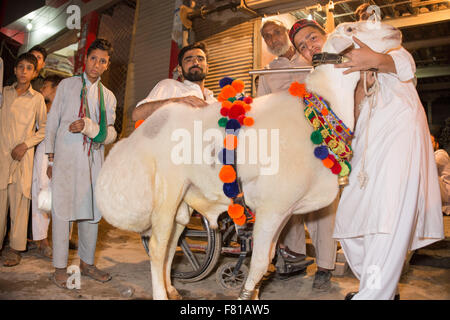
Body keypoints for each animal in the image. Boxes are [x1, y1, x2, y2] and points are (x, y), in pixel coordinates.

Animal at [94, 22, 400, 300]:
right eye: (350, 29)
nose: (395, 33)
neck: (315, 112)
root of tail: (138, 135)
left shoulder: (284, 211)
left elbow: (266, 262)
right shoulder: (272, 206)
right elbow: (260, 264)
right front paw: (243, 292)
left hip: (182, 201)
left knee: (173, 241)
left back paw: (172, 288)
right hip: (166, 191)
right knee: (158, 246)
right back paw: (161, 292)